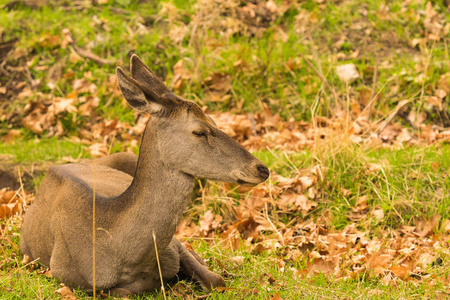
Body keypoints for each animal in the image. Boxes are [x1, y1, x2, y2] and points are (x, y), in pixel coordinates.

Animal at [19, 55, 268, 296]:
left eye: (214, 121)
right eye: (199, 131)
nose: (262, 169)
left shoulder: (175, 246)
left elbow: (215, 280)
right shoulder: (65, 275)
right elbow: (124, 292)